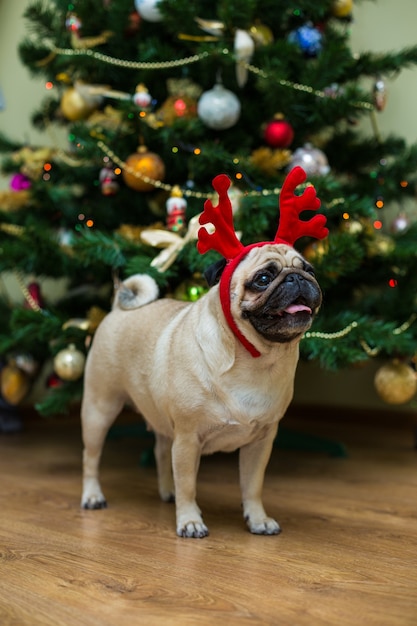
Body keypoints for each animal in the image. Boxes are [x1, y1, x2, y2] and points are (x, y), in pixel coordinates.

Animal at [79, 167, 324, 536]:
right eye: (263, 278)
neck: (256, 359)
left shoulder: (261, 441)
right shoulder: (188, 438)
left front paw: (258, 518)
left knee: (160, 450)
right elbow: (188, 484)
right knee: (92, 457)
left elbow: (252, 485)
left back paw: (165, 493)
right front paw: (190, 520)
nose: (296, 278)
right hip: (99, 407)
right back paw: (93, 496)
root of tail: (117, 307)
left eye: (309, 270)